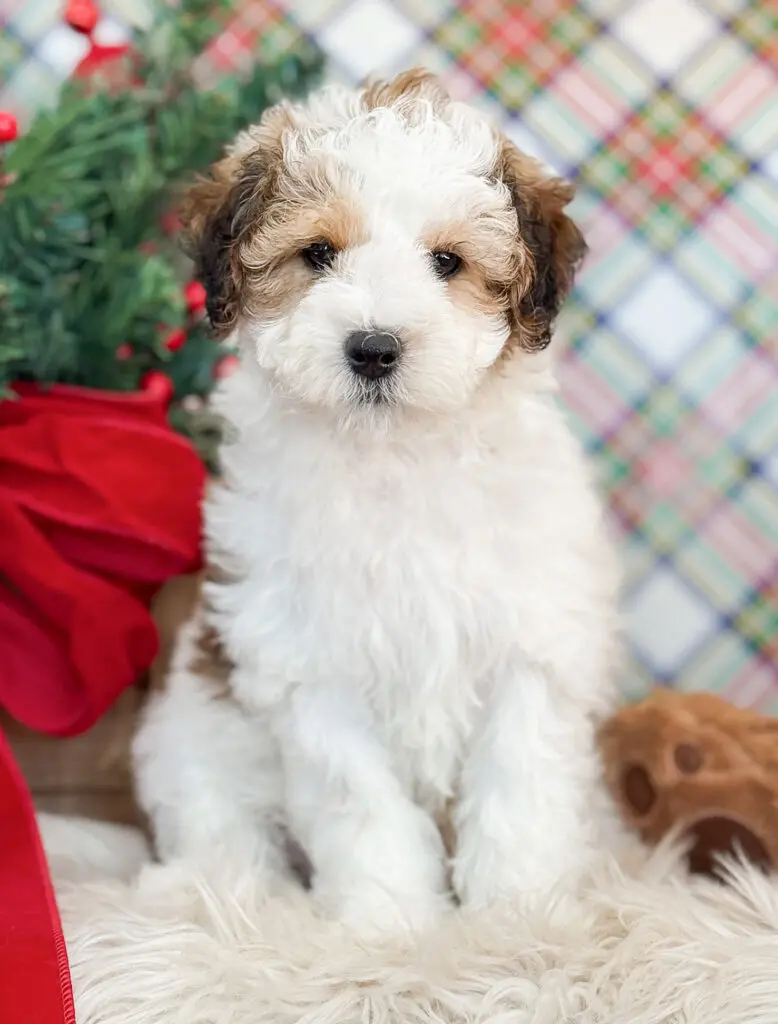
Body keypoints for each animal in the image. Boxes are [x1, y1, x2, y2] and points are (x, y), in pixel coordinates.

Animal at [132, 69, 621, 936]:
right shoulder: (309, 665)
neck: (394, 454)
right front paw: (391, 924)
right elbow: (362, 804)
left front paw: (520, 919)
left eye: (448, 262)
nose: (373, 348)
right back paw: (208, 891)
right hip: (192, 736)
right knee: (222, 829)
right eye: (318, 254)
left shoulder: (531, 648)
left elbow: (519, 791)